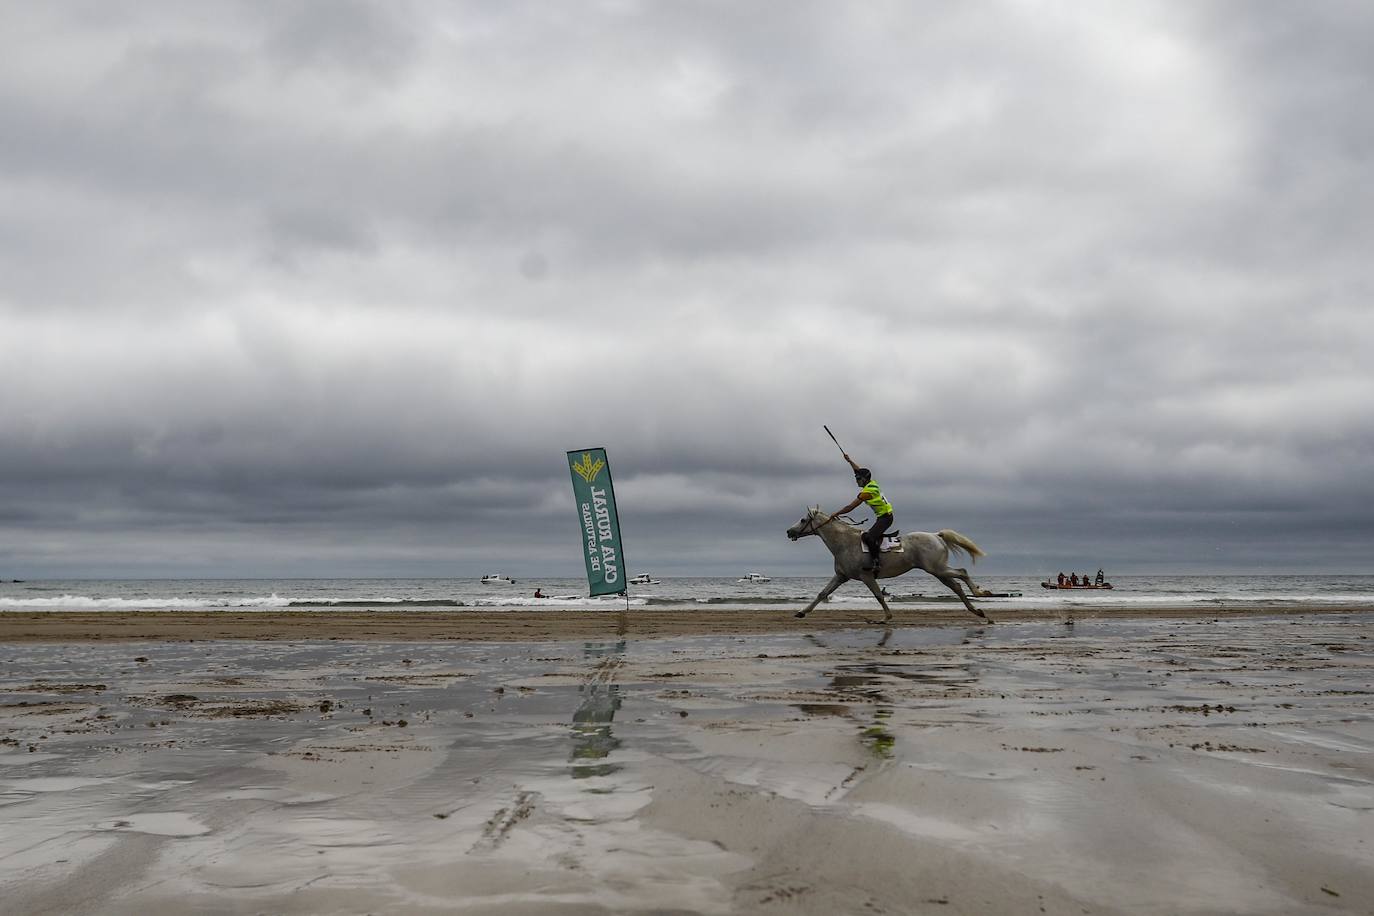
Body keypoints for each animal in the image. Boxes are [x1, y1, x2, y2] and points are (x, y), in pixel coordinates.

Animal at [791, 505, 994, 626]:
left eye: (802, 520)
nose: (788, 531)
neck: (845, 542)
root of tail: (936, 535)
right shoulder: (842, 576)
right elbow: (823, 593)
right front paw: (801, 612)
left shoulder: (866, 576)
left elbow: (879, 596)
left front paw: (885, 618)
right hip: (938, 572)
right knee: (957, 586)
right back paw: (977, 611)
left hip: (937, 569)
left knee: (962, 572)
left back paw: (980, 593)